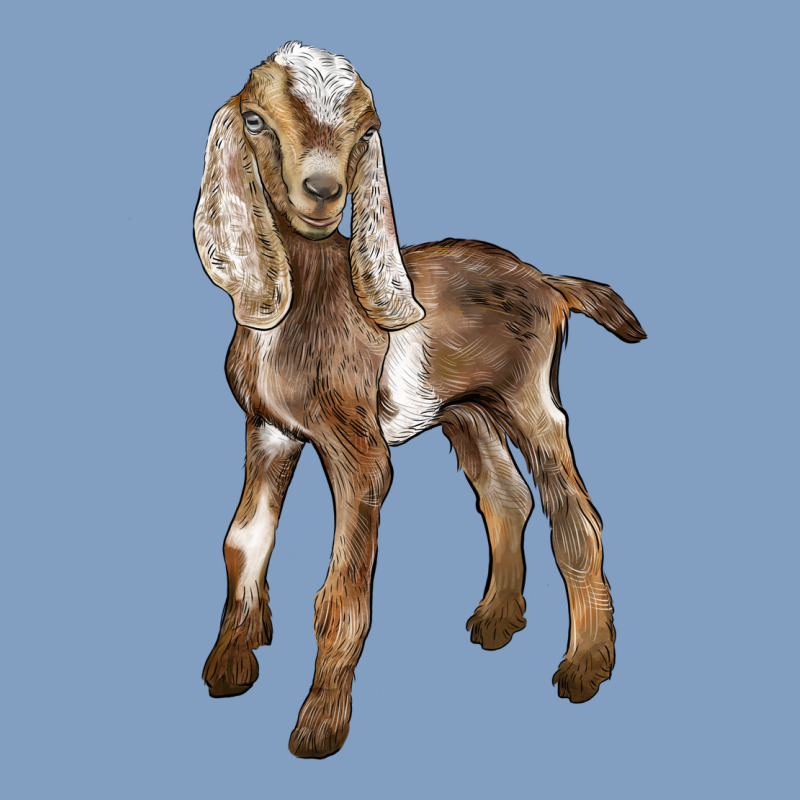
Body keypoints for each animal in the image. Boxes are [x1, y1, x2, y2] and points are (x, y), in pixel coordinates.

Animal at [194, 41, 646, 759]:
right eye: (257, 122)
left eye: (364, 133)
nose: (323, 193)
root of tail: (549, 280)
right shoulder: (268, 430)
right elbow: (243, 542)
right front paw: (231, 664)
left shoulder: (359, 456)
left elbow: (341, 593)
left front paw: (319, 725)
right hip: (468, 410)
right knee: (505, 497)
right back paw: (497, 620)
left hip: (529, 398)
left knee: (575, 517)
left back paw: (584, 668)